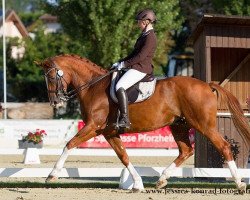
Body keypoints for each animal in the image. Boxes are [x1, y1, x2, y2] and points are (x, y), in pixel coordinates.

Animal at [36, 54, 250, 192]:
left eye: (52, 76)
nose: (54, 102)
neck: (92, 87)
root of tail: (207, 85)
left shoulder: (93, 127)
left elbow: (69, 144)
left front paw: (52, 174)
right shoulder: (108, 132)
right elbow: (124, 156)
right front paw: (138, 184)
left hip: (204, 125)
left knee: (223, 146)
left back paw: (239, 184)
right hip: (179, 125)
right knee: (186, 151)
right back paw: (162, 179)